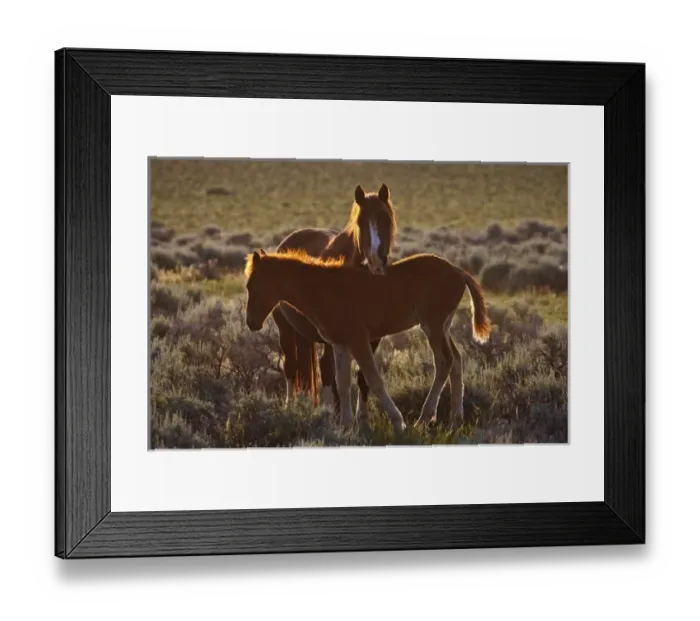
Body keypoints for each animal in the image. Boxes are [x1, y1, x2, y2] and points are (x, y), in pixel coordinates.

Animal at [244, 248, 491, 437]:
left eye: (253, 285)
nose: (251, 323)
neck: (323, 290)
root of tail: (458, 271)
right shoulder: (341, 345)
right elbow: (342, 384)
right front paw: (345, 426)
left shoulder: (359, 340)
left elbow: (374, 380)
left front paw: (398, 423)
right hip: (443, 327)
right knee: (456, 361)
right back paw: (455, 421)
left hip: (433, 326)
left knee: (444, 362)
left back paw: (424, 418)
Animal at [271, 183, 397, 418]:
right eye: (360, 222)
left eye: (386, 219)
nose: (375, 261)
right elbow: (331, 373)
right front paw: (332, 415)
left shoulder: (372, 338)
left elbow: (364, 376)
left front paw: (362, 418)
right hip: (286, 329)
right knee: (293, 367)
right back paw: (291, 407)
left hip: (304, 333)